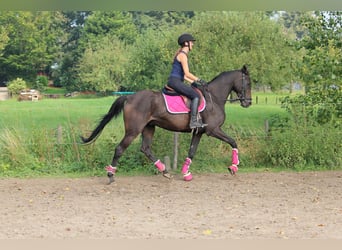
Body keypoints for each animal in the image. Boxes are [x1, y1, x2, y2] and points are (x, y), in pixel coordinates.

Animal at [80, 65, 251, 185]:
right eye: (248, 83)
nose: (248, 103)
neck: (214, 98)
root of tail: (129, 97)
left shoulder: (198, 132)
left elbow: (192, 152)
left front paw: (186, 174)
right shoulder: (213, 130)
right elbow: (233, 141)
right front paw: (233, 167)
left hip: (149, 127)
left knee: (145, 148)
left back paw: (165, 171)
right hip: (133, 130)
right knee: (120, 149)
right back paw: (110, 175)